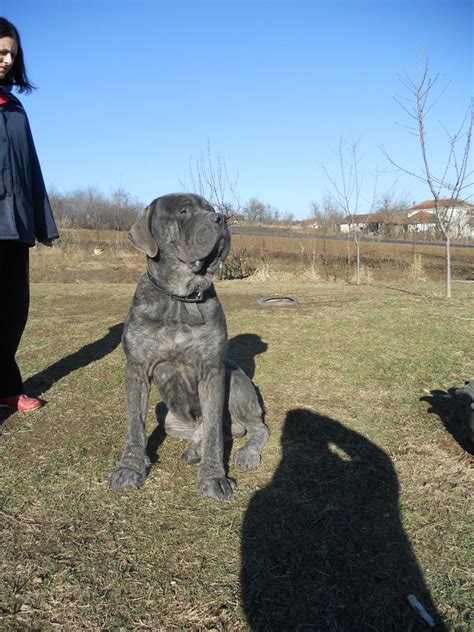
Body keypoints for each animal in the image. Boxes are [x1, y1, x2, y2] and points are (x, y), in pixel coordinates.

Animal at [109, 193, 268, 498]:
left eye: (210, 209)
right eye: (183, 212)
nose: (221, 218)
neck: (179, 299)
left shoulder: (212, 370)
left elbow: (215, 433)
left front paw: (213, 478)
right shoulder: (136, 368)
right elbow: (135, 424)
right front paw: (130, 467)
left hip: (235, 382)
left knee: (254, 428)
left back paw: (245, 453)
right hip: (166, 414)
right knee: (210, 430)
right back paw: (193, 447)